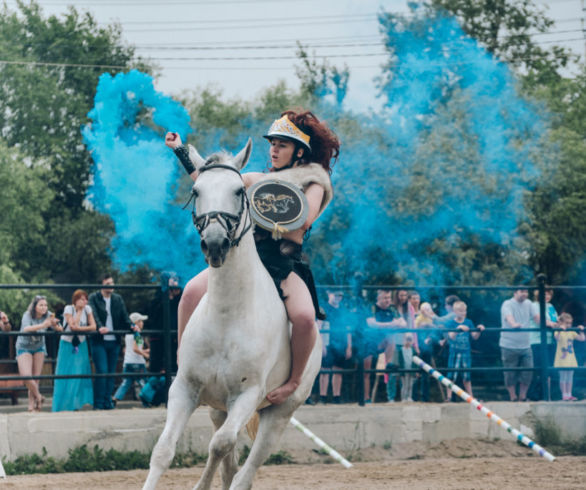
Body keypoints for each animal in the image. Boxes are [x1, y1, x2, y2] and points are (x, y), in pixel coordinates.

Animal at [143, 140, 322, 488]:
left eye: (239, 191)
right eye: (196, 190)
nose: (215, 243)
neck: (227, 316)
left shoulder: (247, 395)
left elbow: (220, 445)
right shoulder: (184, 388)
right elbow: (163, 450)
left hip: (279, 413)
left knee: (243, 471)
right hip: (218, 407)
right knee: (229, 462)